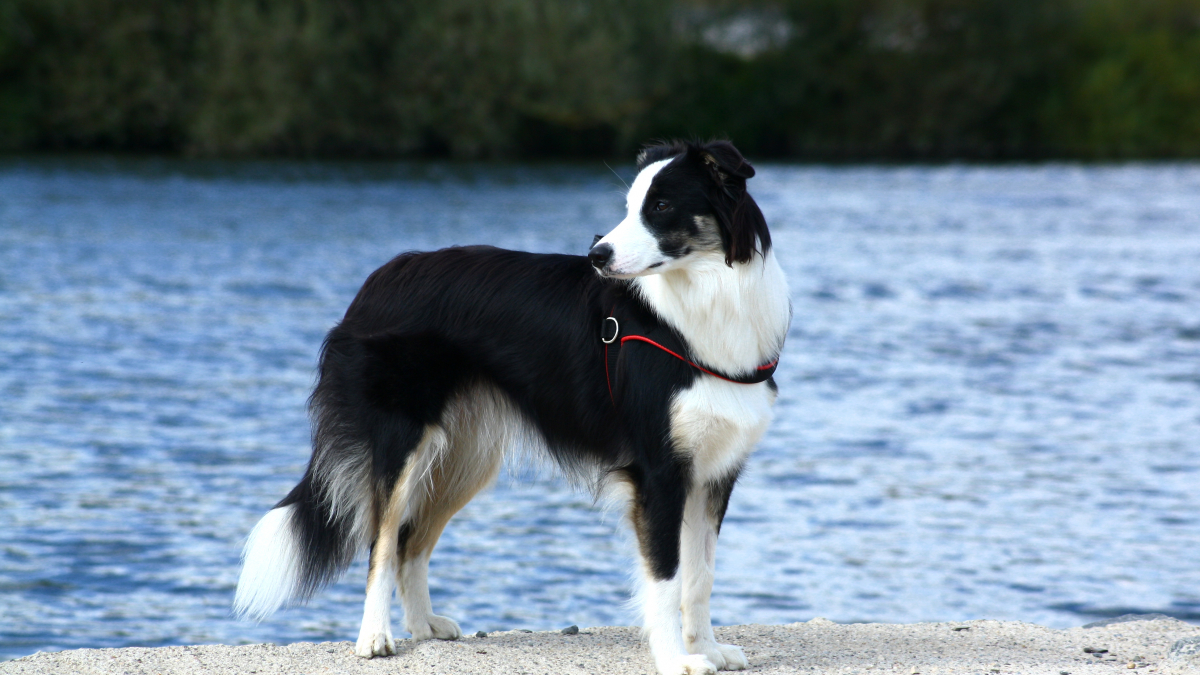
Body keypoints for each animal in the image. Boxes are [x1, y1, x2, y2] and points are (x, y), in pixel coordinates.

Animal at [234, 139, 796, 667]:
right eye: (630, 205)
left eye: (659, 206)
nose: (597, 255)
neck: (702, 302)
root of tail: (378, 280)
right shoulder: (659, 472)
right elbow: (666, 578)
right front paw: (678, 659)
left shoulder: (713, 473)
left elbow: (700, 576)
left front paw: (709, 650)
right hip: (403, 441)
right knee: (383, 538)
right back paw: (375, 637)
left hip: (467, 455)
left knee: (412, 540)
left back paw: (423, 625)